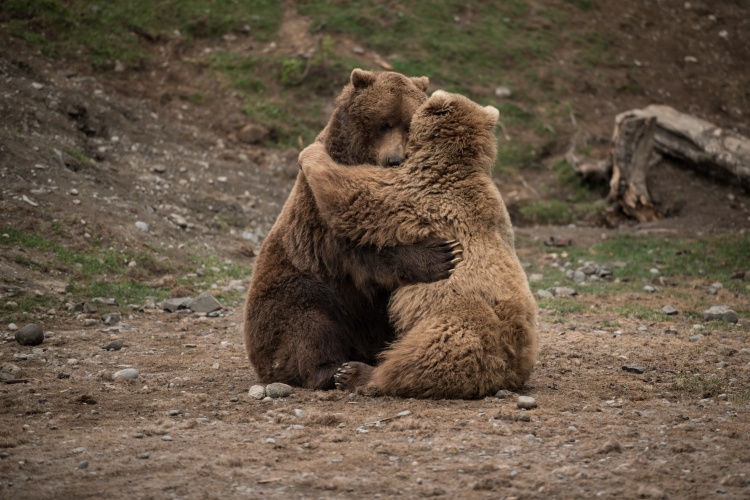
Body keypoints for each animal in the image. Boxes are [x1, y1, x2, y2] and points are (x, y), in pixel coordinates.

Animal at [243, 70, 462, 390]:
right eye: (383, 123)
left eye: (408, 125)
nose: (395, 160)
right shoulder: (322, 217)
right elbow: (361, 252)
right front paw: (439, 255)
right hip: (293, 287)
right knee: (307, 317)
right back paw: (331, 369)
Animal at [297, 90, 539, 399]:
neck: (451, 160)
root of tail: (509, 373)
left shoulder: (412, 189)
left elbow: (350, 195)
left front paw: (311, 149)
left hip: (460, 318)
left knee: (427, 354)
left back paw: (356, 374)